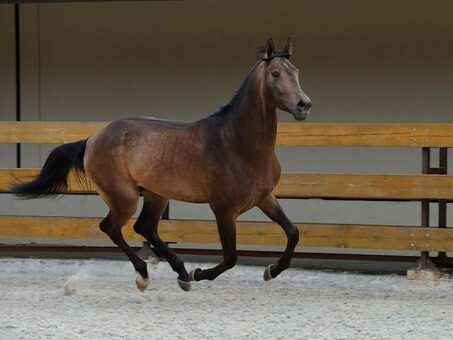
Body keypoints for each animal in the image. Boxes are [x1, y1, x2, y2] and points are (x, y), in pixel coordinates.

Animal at [12, 38, 312, 290]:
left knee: (144, 228)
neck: (237, 143)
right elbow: (230, 258)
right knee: (112, 228)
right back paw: (148, 274)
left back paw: (180, 272)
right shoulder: (224, 209)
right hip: (125, 197)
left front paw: (272, 270)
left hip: (156, 195)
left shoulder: (265, 197)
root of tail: (93, 137)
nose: (303, 105)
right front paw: (199, 274)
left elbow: (294, 232)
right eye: (275, 73)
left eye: (296, 71)